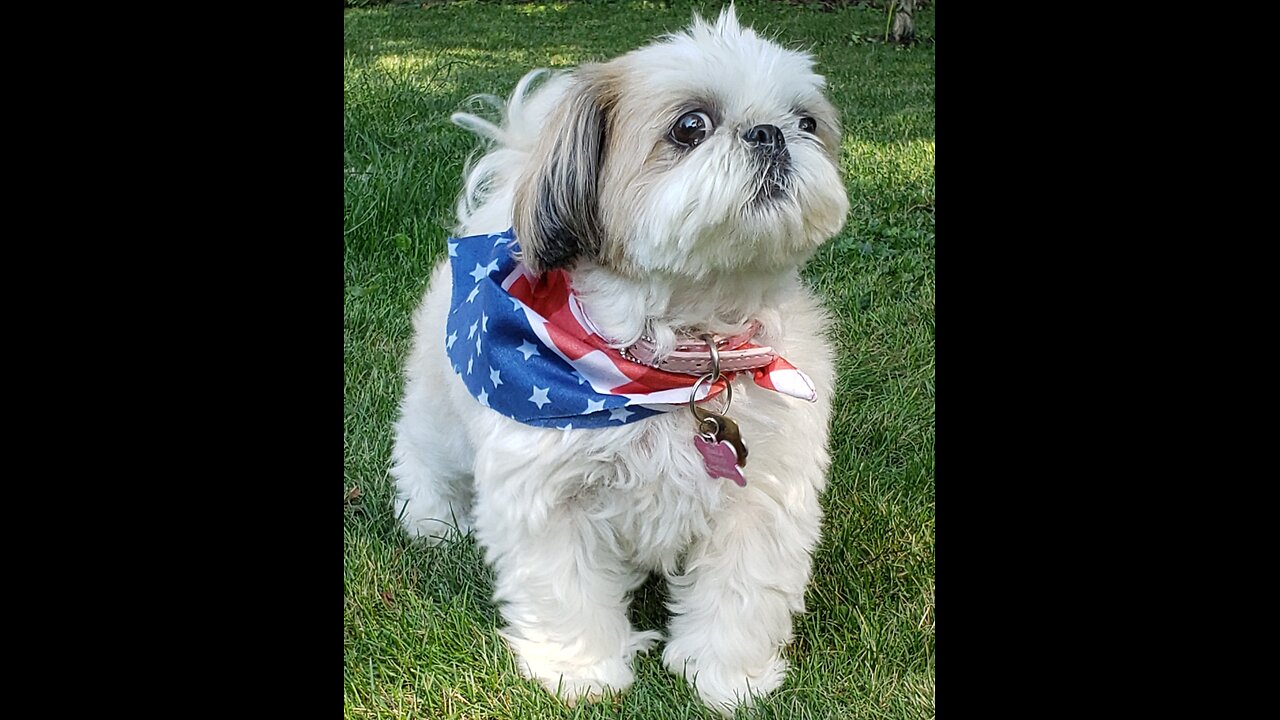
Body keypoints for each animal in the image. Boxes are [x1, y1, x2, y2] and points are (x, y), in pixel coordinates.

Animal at [389, 7, 849, 712]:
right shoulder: (548, 497)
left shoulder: (763, 495)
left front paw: (728, 678)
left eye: (807, 122)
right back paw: (432, 520)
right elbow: (565, 591)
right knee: (421, 455)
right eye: (690, 126)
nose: (771, 134)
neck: (680, 363)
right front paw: (581, 672)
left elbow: (741, 594)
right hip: (439, 412)